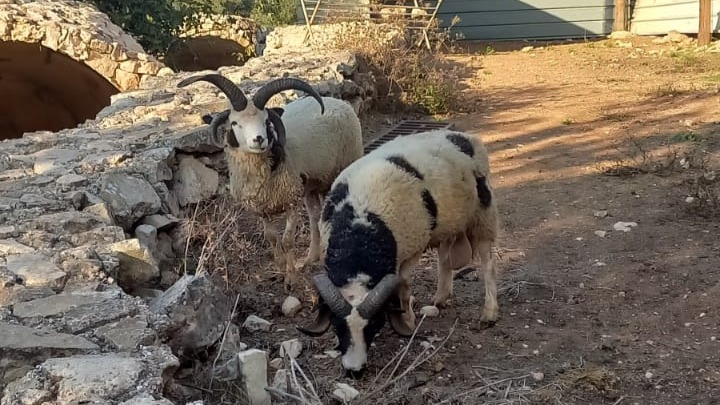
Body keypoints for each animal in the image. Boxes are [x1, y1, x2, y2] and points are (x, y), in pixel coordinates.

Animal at [177, 73, 364, 289]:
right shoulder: (262, 208)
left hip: (338, 172)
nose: (259, 139)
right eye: (234, 123)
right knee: (314, 216)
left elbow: (287, 241)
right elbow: (272, 238)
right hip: (311, 186)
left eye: (266, 120)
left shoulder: (291, 200)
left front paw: (291, 279)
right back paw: (311, 258)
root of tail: (338, 102)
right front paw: (281, 267)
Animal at [297, 129, 500, 375]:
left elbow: (403, 285)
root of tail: (462, 135)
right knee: (444, 258)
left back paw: (489, 313)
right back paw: (440, 298)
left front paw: (408, 322)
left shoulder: (412, 250)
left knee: (488, 263)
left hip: (483, 214)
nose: (354, 370)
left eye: (375, 323)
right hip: (446, 224)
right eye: (336, 325)